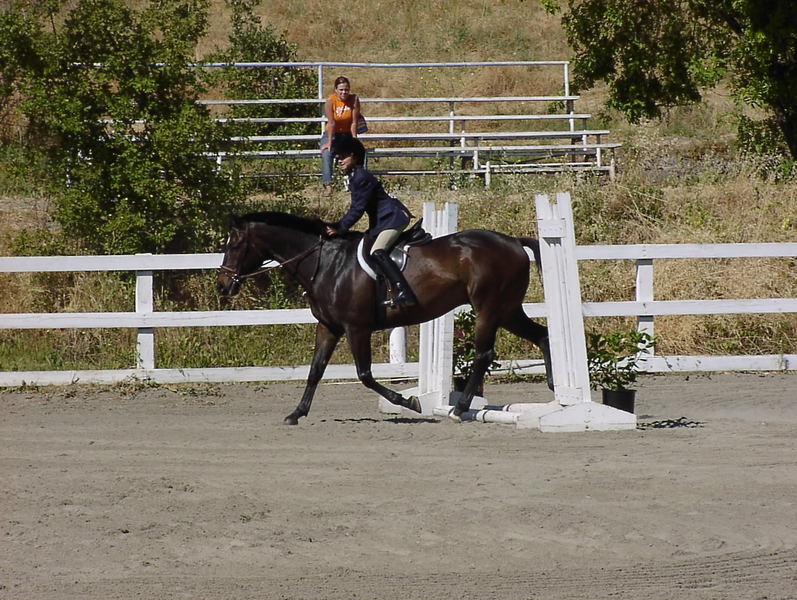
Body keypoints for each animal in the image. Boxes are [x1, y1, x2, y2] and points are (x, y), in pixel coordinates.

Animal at [217, 211, 553, 425]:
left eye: (235, 245)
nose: (222, 286)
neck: (327, 263)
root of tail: (513, 241)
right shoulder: (329, 327)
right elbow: (315, 371)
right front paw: (296, 413)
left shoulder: (356, 328)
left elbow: (365, 375)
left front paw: (409, 403)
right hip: (507, 310)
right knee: (542, 335)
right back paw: (553, 388)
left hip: (488, 308)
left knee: (483, 354)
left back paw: (459, 408)